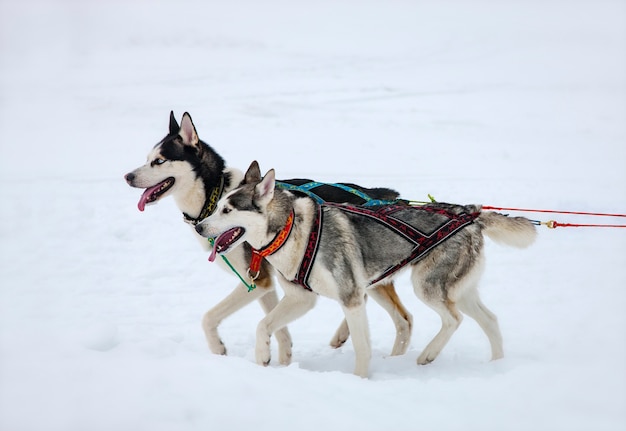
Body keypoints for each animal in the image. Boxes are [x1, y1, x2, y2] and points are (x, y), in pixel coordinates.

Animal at [124, 111, 412, 364]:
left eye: (159, 161)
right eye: (147, 158)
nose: (127, 176)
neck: (216, 192)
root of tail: (379, 195)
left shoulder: (258, 280)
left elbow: (209, 317)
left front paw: (218, 349)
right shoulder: (266, 283)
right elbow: (279, 327)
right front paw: (283, 361)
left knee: (397, 316)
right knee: (388, 311)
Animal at [196, 163, 536, 378]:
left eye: (227, 209)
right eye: (218, 206)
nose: (199, 226)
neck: (292, 231)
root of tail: (470, 214)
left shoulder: (351, 298)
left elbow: (361, 347)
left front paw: (359, 379)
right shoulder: (301, 298)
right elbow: (263, 326)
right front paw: (263, 357)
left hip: (427, 286)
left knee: (454, 319)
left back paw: (428, 355)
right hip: (459, 290)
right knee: (489, 320)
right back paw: (496, 366)